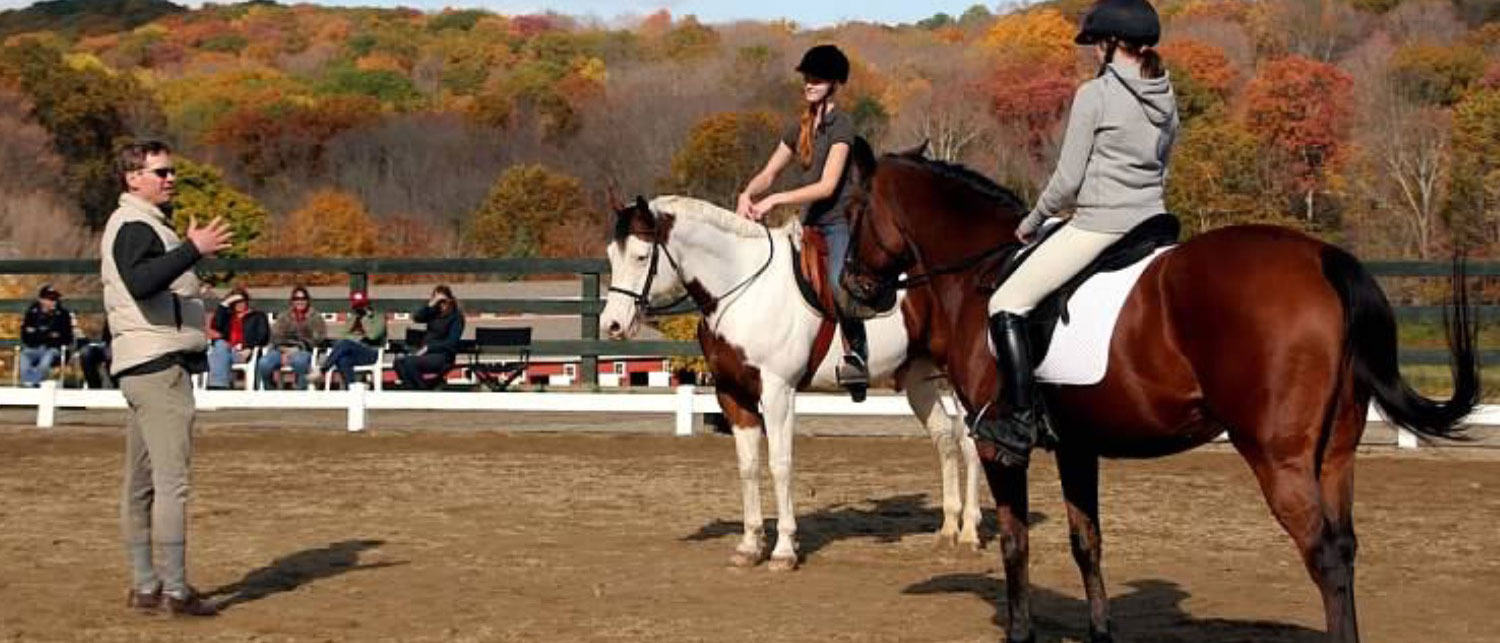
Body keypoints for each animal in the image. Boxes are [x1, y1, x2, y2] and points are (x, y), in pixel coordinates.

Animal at [597, 191, 984, 572]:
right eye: (611, 255)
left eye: (641, 256)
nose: (612, 325)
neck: (743, 289)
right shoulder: (732, 395)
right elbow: (748, 468)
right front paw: (750, 544)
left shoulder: (777, 392)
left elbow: (779, 465)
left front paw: (784, 549)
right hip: (919, 375)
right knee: (945, 438)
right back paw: (948, 530)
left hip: (960, 380)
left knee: (969, 441)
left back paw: (969, 532)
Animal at [840, 151, 1482, 641]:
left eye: (854, 210)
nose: (853, 287)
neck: (982, 276)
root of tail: (1322, 257)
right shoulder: (1077, 448)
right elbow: (1086, 542)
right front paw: (1100, 632)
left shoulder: (1003, 450)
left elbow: (1016, 545)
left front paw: (1020, 633)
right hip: (1334, 454)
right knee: (1344, 550)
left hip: (1279, 457)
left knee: (1323, 555)